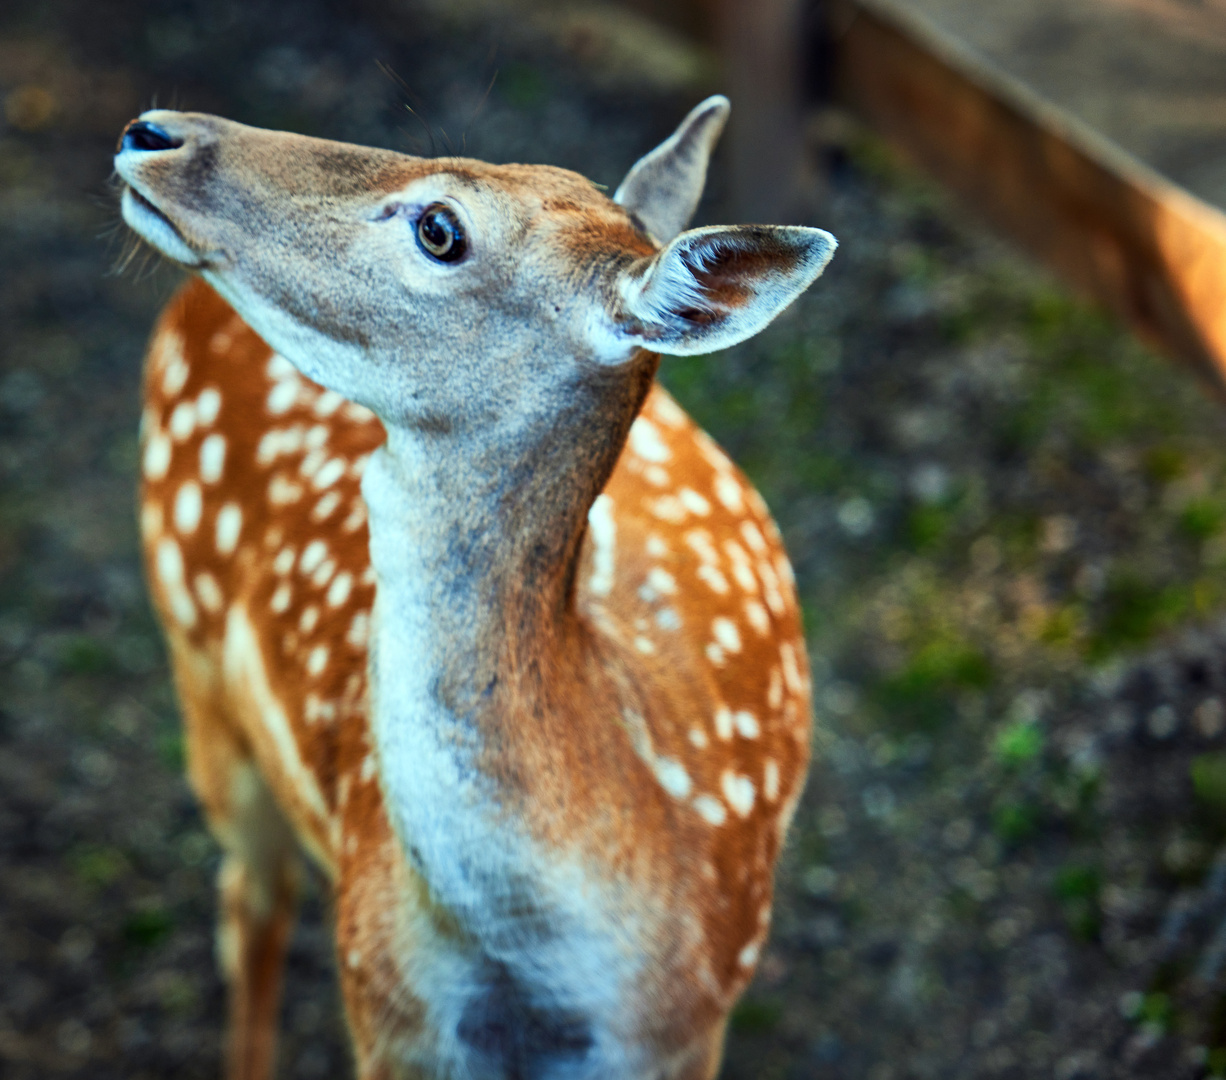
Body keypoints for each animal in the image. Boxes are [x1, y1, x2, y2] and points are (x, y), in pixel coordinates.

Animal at [115, 95, 833, 1078]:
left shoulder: (691, 1028)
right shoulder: (387, 1011)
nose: (153, 132)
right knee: (252, 900)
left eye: (441, 229)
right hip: (195, 662)